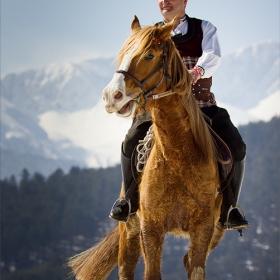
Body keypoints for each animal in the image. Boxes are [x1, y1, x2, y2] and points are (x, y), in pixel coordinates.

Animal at [69, 15, 226, 280]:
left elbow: (195, 268)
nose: (111, 96)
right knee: (125, 266)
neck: (178, 155)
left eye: (149, 55)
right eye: (123, 54)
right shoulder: (149, 227)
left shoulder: (203, 228)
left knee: (187, 260)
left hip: (216, 232)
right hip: (128, 229)